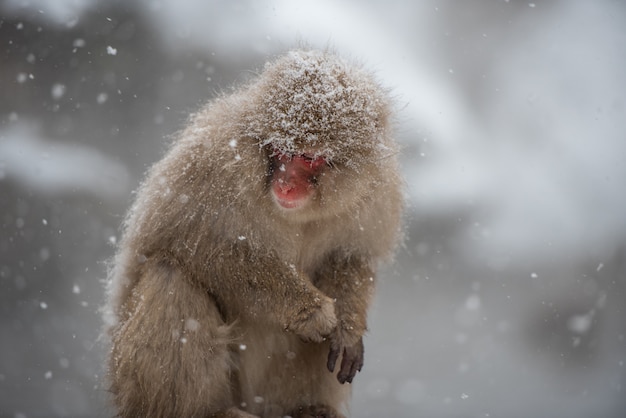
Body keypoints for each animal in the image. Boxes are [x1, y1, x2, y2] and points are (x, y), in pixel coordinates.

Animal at [103, 49, 402, 418]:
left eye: (308, 158)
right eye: (282, 151)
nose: (286, 184)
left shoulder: (379, 190)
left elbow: (352, 259)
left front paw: (348, 328)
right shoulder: (209, 163)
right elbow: (197, 248)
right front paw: (310, 312)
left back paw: (309, 409)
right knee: (170, 275)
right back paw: (208, 411)